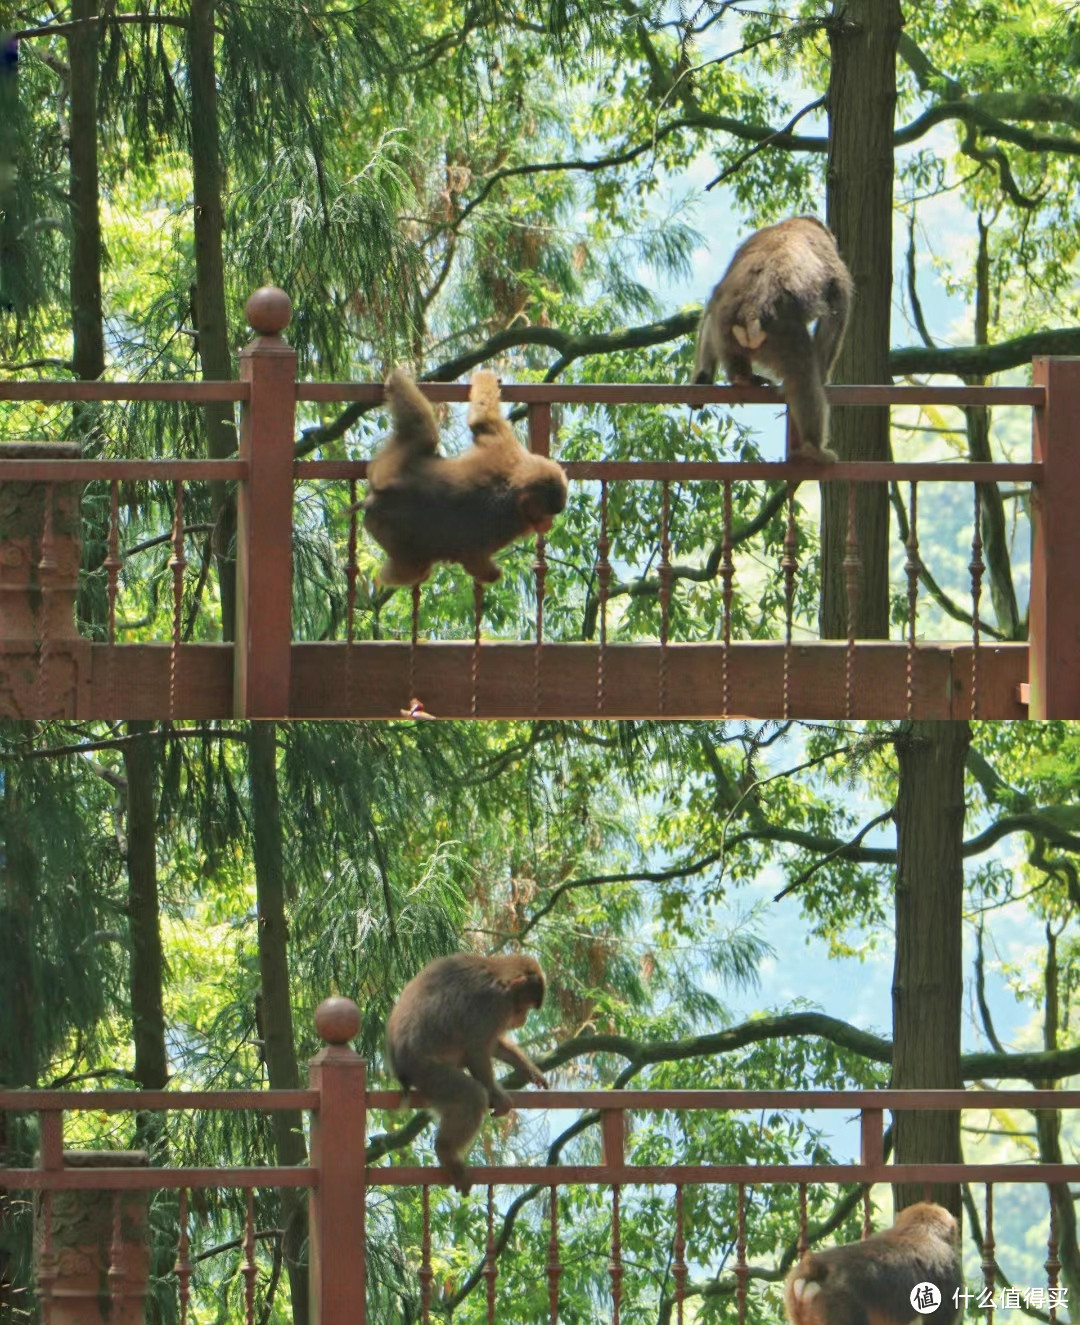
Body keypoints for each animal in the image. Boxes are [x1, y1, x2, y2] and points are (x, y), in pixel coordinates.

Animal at [363, 368, 569, 585]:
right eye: (545, 514)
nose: (547, 524)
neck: (515, 480)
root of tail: (381, 495)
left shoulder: (504, 445)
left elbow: (482, 419)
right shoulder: (510, 521)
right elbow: (473, 558)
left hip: (391, 465)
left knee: (423, 431)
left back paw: (396, 381)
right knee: (417, 568)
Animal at [384, 954, 548, 1192]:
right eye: (523, 1009)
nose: (523, 1019)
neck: (499, 976)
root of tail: (398, 1066)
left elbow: (492, 1045)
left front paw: (528, 1068)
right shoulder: (495, 1005)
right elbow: (477, 1050)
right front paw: (497, 1094)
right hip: (426, 1072)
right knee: (472, 1096)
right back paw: (445, 1150)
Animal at [694, 214, 858, 463]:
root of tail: (750, 312)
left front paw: (702, 375)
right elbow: (836, 316)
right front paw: (824, 374)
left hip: (725, 327)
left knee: (713, 308)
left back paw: (738, 378)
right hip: (782, 334)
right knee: (802, 375)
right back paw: (813, 448)